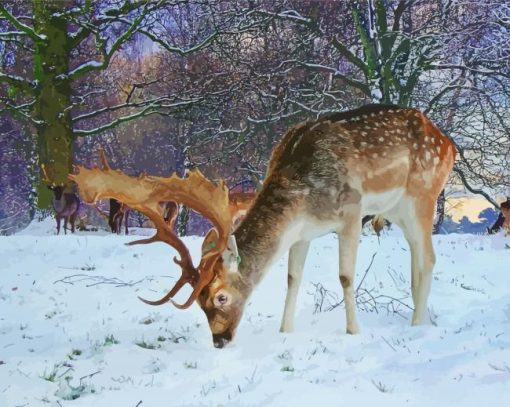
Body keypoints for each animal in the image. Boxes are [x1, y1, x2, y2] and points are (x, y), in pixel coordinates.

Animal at [69, 103, 456, 350]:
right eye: (199, 303)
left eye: (221, 296)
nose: (219, 341)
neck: (302, 197)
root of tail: (449, 142)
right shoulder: (303, 234)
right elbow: (292, 278)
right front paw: (286, 331)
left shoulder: (351, 211)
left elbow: (346, 276)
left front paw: (353, 331)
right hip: (397, 210)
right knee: (417, 260)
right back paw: (423, 318)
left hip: (422, 194)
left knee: (430, 257)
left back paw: (417, 324)